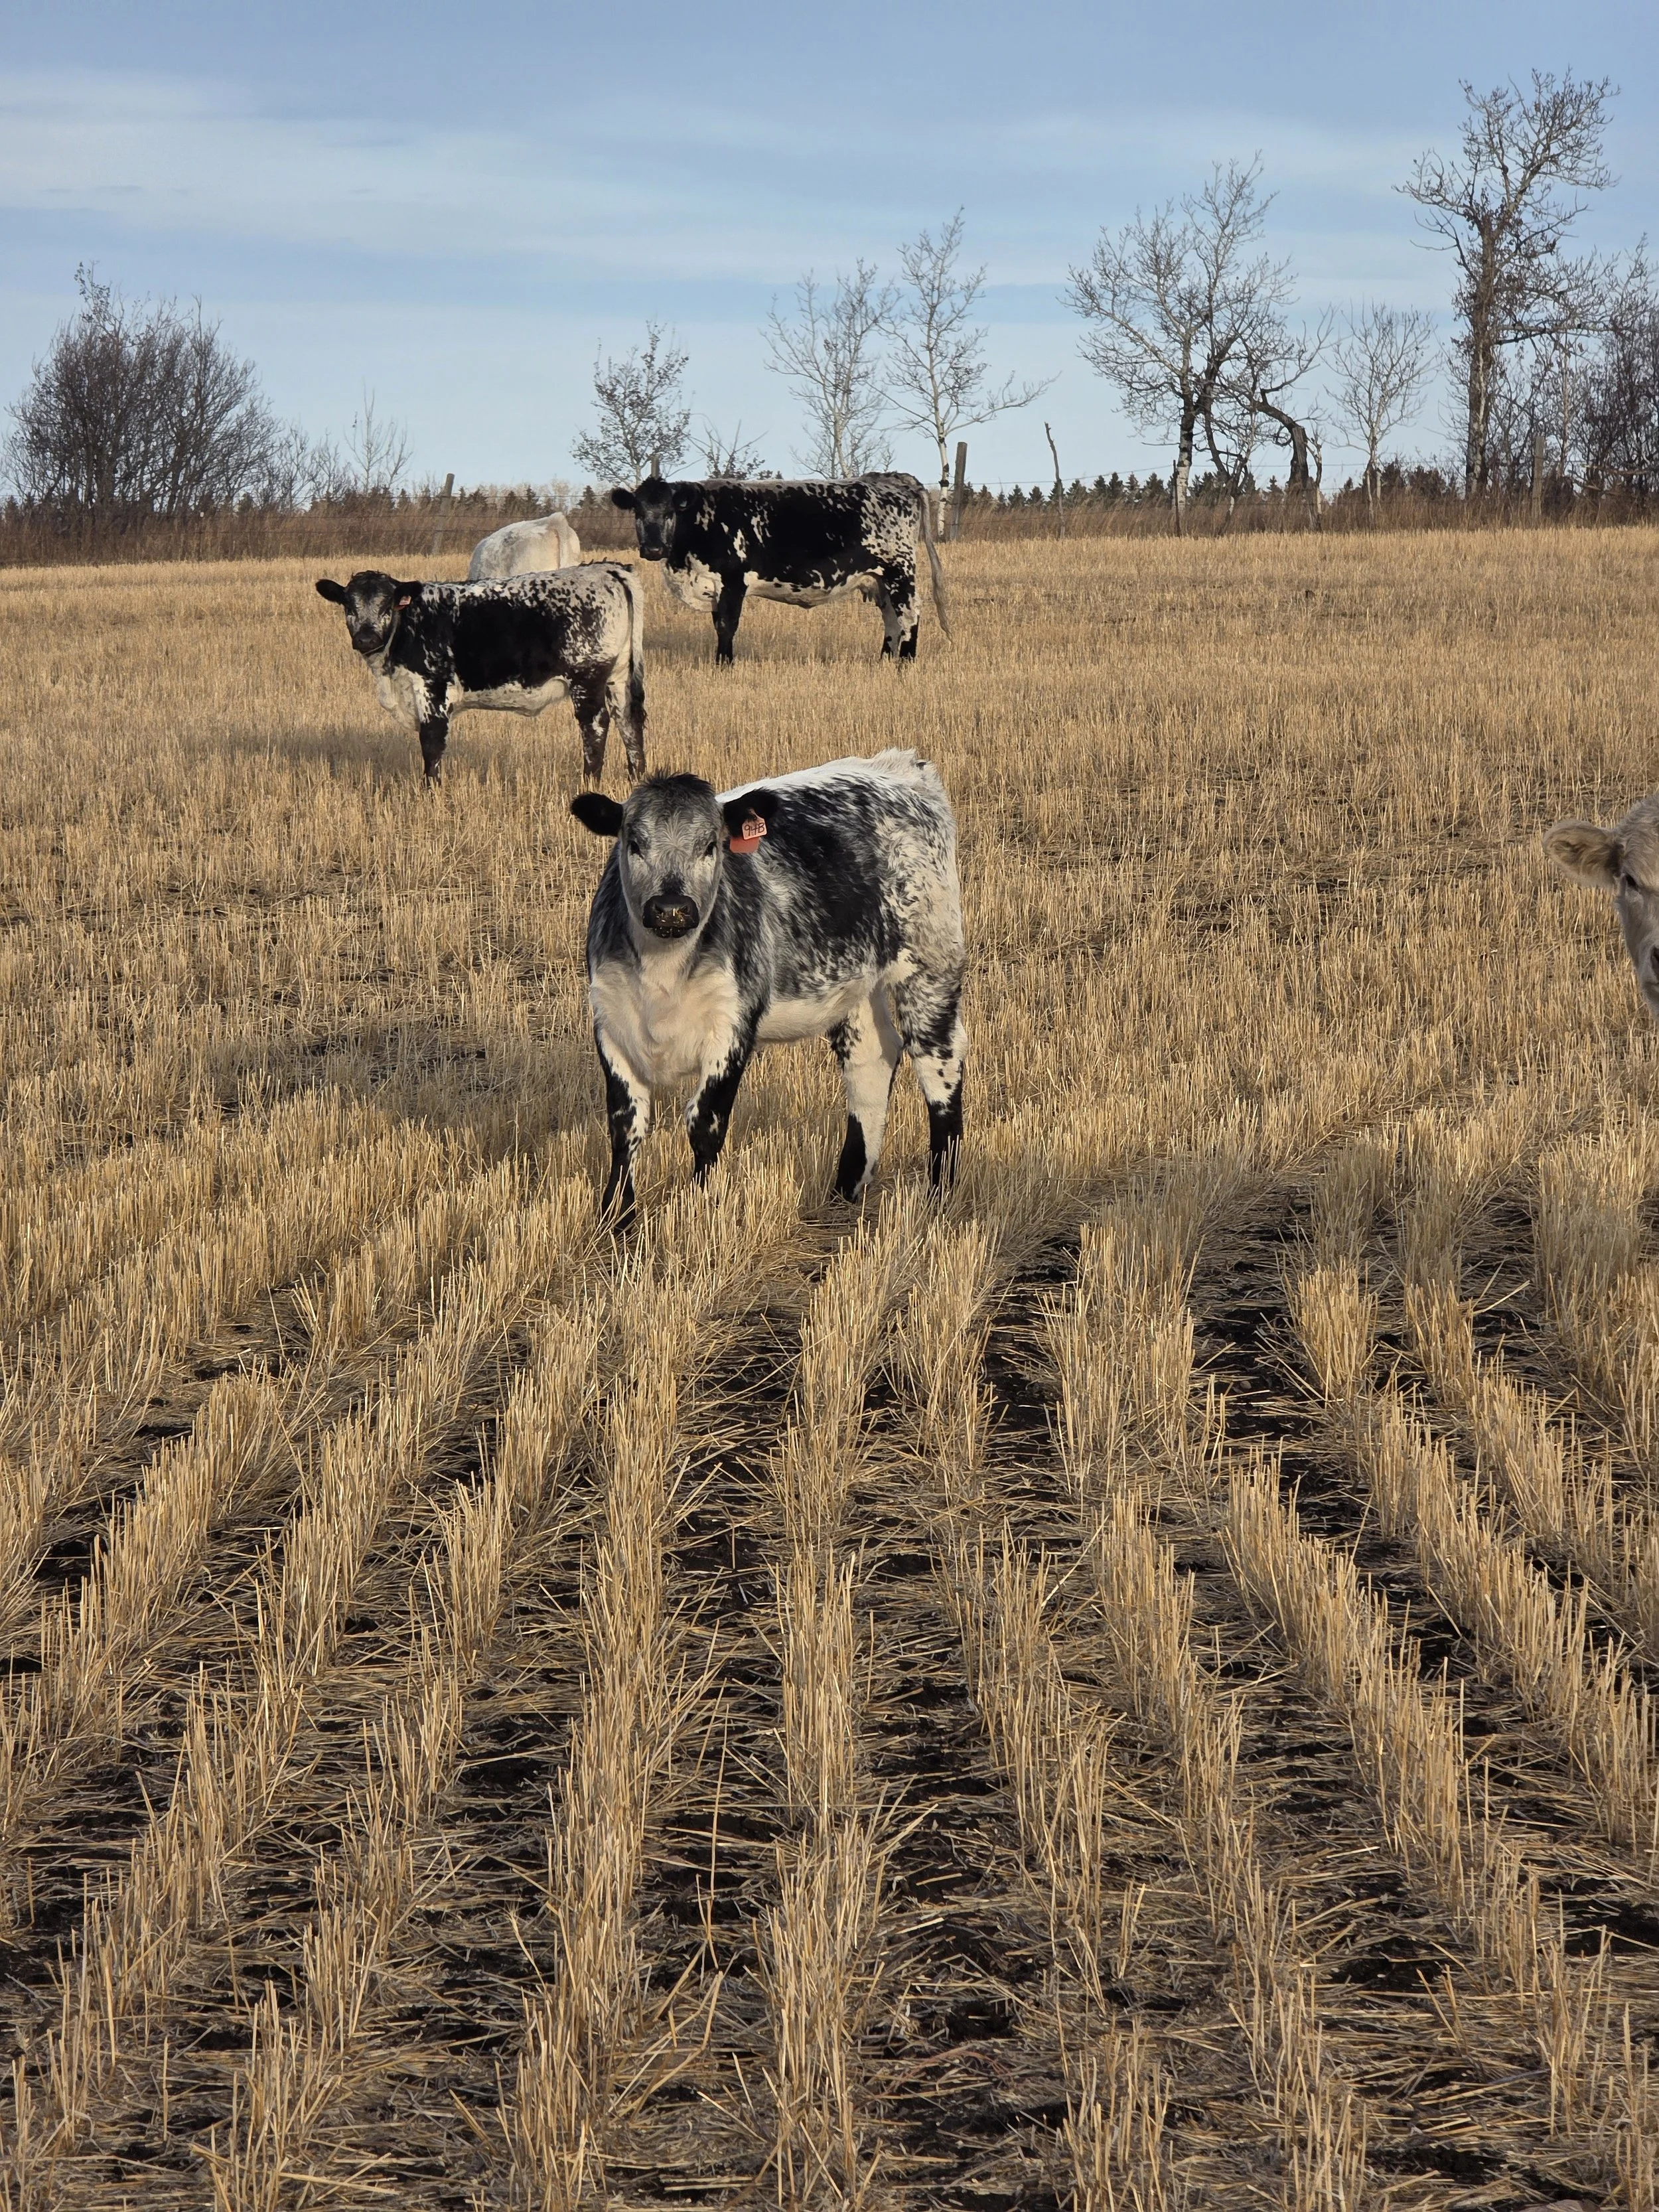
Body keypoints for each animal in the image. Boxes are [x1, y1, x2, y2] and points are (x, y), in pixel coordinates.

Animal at [314, 564, 644, 785]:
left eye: (387, 605)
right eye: (348, 605)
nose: (366, 638)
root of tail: (609, 570)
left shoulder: (432, 688)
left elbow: (431, 742)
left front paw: (431, 792)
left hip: (587, 676)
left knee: (595, 726)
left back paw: (589, 783)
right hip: (617, 677)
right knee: (629, 721)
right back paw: (636, 780)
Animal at [569, 748, 966, 1226]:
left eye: (711, 845)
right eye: (634, 843)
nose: (671, 908)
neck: (663, 973)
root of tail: (900, 766)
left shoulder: (732, 1026)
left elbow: (705, 1122)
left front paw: (698, 1211)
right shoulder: (610, 1023)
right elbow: (625, 1124)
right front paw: (615, 1219)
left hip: (930, 966)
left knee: (939, 1063)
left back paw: (940, 1193)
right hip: (855, 981)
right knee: (870, 1058)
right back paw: (847, 1187)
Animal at [609, 472, 951, 665]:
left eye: (670, 511)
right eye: (637, 511)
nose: (653, 549)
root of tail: (893, 479)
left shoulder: (733, 581)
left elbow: (727, 626)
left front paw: (724, 664)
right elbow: (719, 624)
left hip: (899, 570)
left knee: (910, 614)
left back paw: (906, 662)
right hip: (881, 579)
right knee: (892, 618)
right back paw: (884, 661)